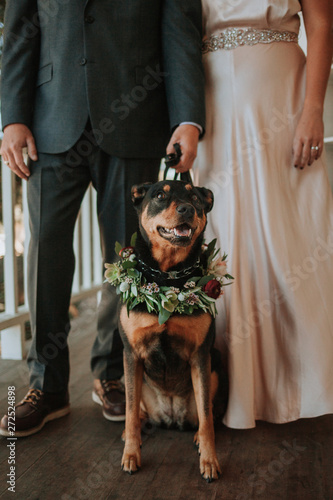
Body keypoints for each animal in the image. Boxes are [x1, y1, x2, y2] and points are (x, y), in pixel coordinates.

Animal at [117, 179, 226, 480]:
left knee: (206, 414)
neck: (167, 278)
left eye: (195, 197)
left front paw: (210, 461)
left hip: (215, 362)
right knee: (136, 408)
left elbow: (206, 416)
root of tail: (171, 415)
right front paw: (131, 454)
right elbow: (130, 411)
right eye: (160, 195)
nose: (186, 208)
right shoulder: (131, 353)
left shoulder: (200, 354)